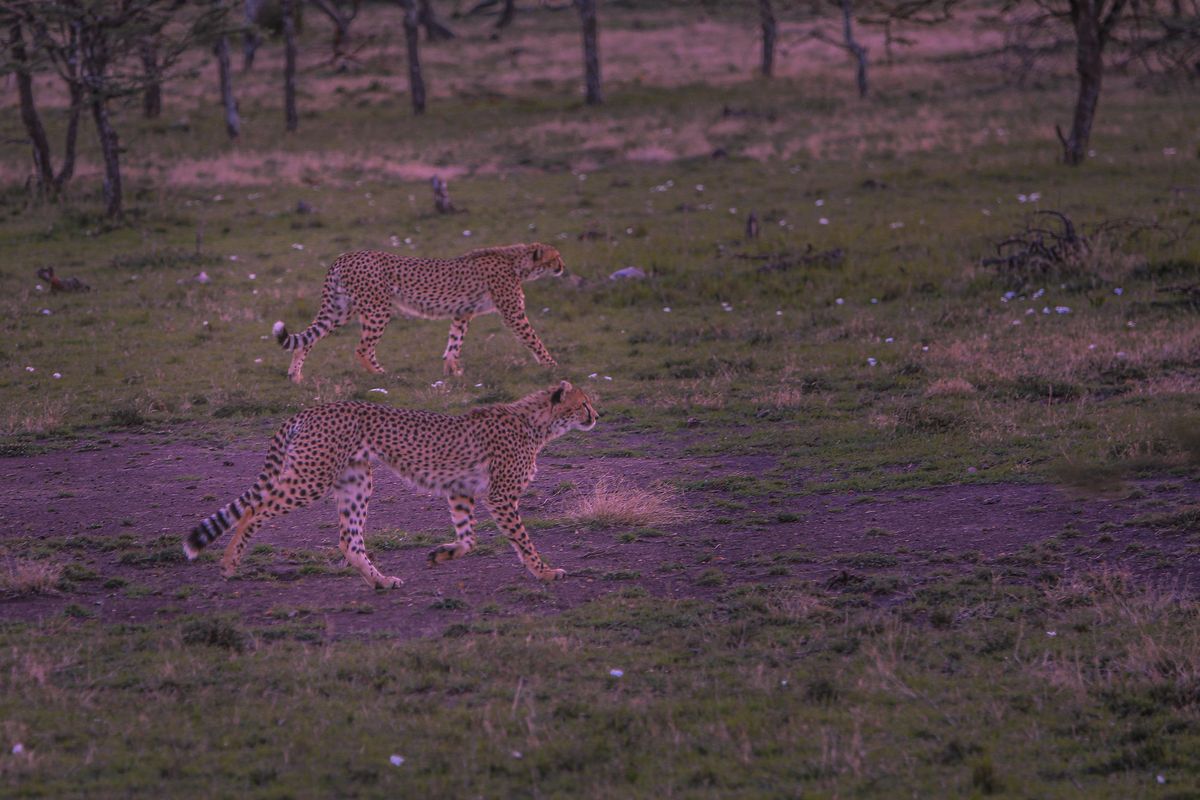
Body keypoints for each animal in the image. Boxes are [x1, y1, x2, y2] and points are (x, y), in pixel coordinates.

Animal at [183, 381, 599, 589]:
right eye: (583, 403)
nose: (597, 415)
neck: (537, 424)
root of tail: (310, 409)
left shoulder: (461, 491)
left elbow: (468, 539)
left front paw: (441, 555)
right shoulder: (500, 496)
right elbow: (523, 541)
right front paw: (544, 572)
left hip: (356, 480)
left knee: (348, 539)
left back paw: (381, 581)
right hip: (311, 477)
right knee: (254, 509)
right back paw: (229, 563)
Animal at [272, 242, 566, 383]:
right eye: (556, 257)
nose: (563, 267)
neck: (517, 262)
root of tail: (346, 255)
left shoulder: (462, 313)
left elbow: (454, 342)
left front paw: (451, 370)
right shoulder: (513, 313)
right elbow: (534, 340)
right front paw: (553, 367)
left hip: (340, 309)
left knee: (308, 339)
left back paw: (295, 375)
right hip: (378, 308)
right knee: (362, 348)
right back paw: (383, 375)